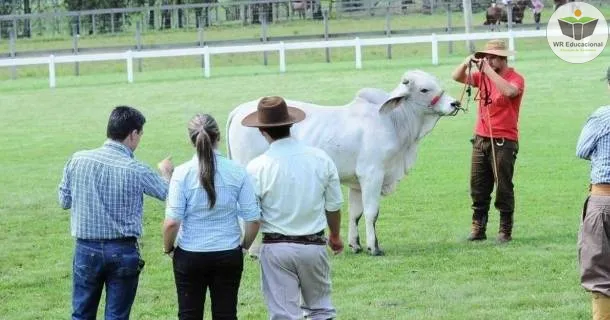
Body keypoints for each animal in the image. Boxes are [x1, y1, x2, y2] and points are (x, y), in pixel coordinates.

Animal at [226, 69, 458, 255]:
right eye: (425, 89)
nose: (455, 103)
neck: (394, 121)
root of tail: (238, 110)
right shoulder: (372, 174)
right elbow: (372, 212)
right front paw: (374, 247)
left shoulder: (357, 183)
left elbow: (356, 214)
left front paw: (356, 245)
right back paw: (253, 251)